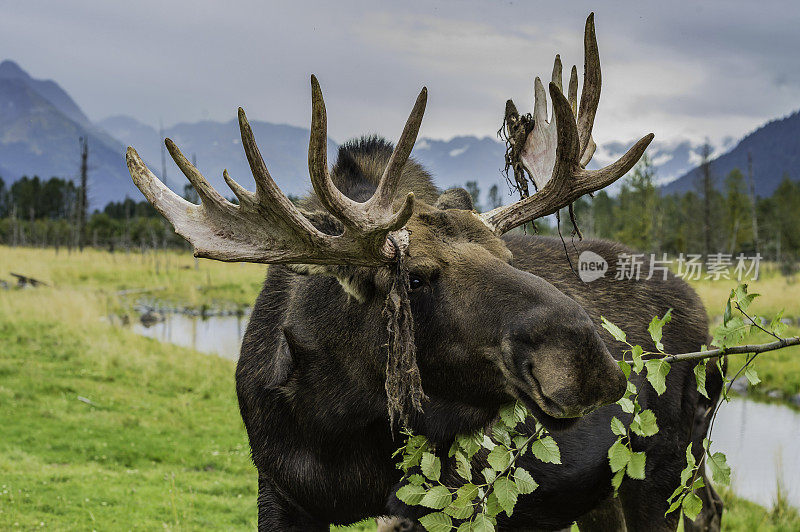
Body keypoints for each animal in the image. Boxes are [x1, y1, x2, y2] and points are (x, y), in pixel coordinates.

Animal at [126, 14, 724, 528]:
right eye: (413, 277)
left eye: (508, 255)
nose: (588, 359)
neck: (334, 419)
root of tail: (704, 319)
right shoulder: (278, 490)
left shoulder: (446, 499)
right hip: (602, 490)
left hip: (664, 467)